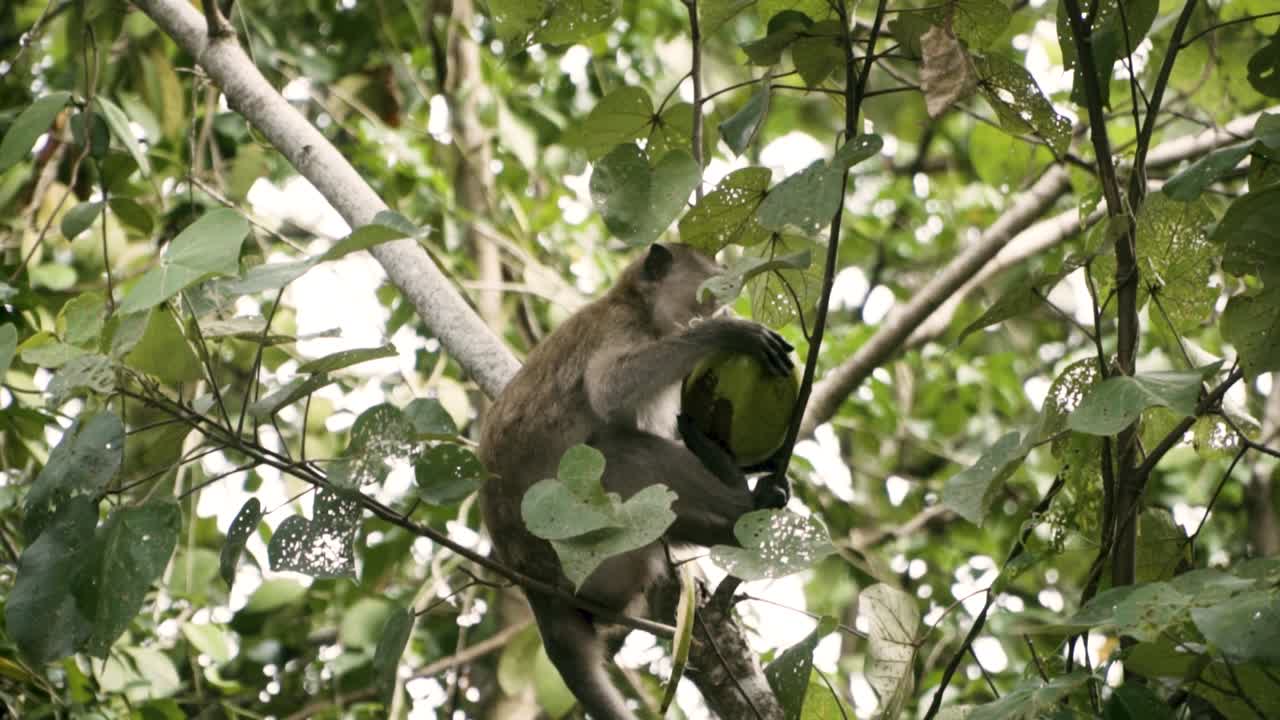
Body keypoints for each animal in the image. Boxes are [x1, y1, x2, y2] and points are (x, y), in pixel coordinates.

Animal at [478, 243, 794, 719]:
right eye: (714, 287)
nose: (725, 307)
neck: (638, 307)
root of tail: (531, 582)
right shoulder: (621, 330)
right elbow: (611, 390)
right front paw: (728, 333)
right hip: (576, 546)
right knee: (623, 451)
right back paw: (741, 501)